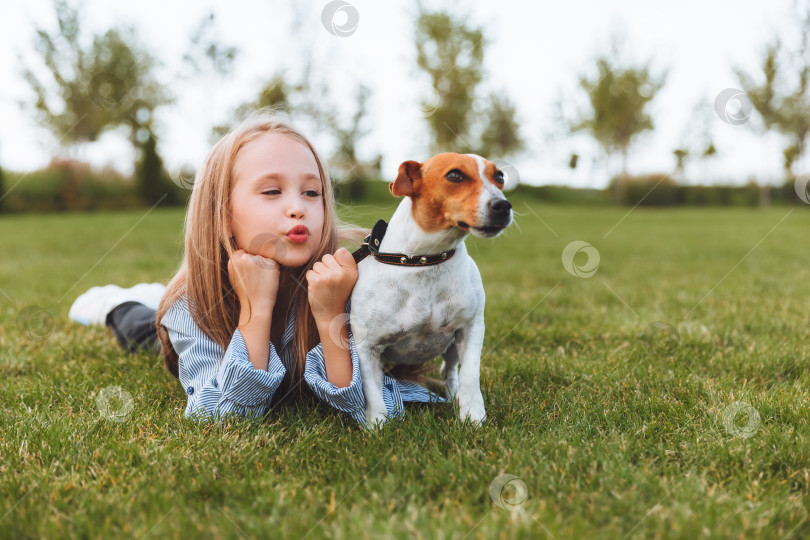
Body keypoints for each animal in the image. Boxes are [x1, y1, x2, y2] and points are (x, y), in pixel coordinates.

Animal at [348, 154, 512, 428]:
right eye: (455, 175)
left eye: (499, 176)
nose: (503, 205)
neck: (424, 261)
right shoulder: (367, 347)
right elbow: (373, 393)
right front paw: (376, 427)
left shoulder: (471, 328)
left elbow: (470, 375)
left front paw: (473, 417)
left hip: (453, 347)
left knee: (449, 371)